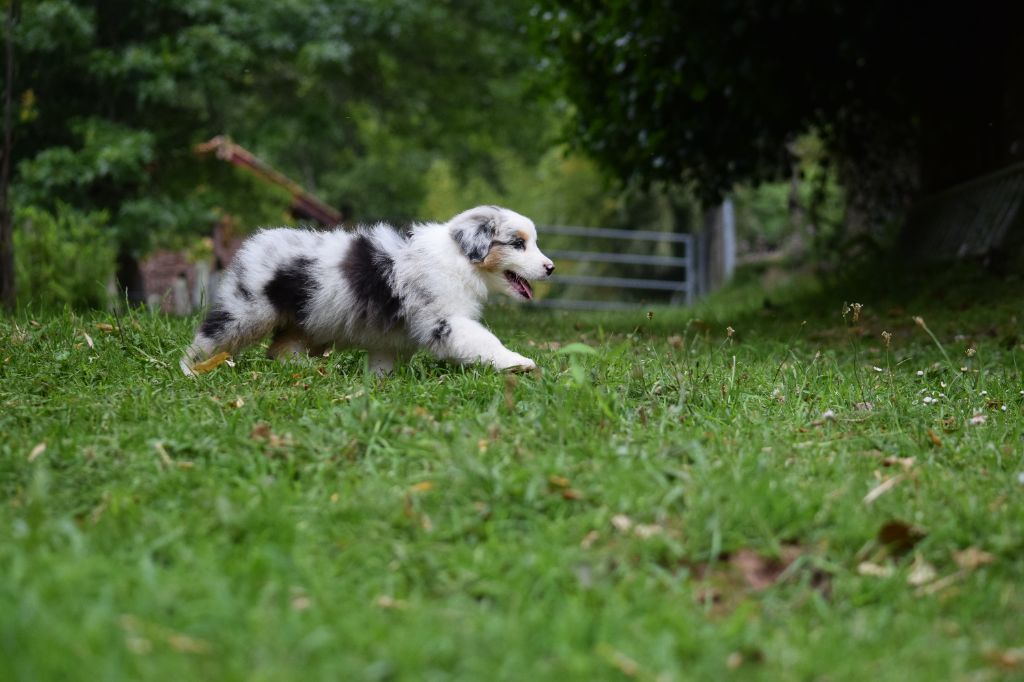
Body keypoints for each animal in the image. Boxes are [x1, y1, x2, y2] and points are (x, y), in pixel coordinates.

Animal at [180, 204, 557, 374]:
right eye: (518, 244)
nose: (551, 267)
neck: (461, 258)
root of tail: (253, 243)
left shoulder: (391, 339)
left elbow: (383, 363)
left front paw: (379, 382)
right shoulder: (444, 320)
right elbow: (484, 340)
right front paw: (518, 362)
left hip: (305, 320)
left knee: (281, 349)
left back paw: (308, 370)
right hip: (245, 310)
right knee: (207, 339)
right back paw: (190, 370)